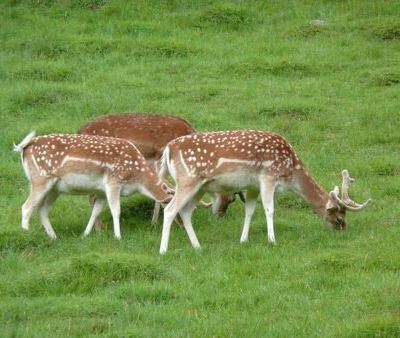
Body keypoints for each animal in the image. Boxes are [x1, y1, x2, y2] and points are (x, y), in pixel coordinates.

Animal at [13, 131, 173, 239]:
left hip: (54, 188)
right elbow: (116, 210)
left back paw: (54, 237)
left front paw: (85, 234)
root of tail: (23, 148)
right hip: (40, 179)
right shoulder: (113, 182)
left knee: (42, 209)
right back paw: (26, 233)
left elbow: (96, 211)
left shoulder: (101, 191)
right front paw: (118, 236)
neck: (137, 179)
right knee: (26, 206)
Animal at [158, 129, 370, 254]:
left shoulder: (252, 186)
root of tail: (168, 150)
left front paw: (243, 240)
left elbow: (250, 211)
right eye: (339, 217)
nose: (342, 231)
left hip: (201, 187)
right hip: (188, 180)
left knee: (185, 211)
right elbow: (269, 209)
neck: (290, 170)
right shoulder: (268, 175)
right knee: (170, 209)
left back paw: (197, 246)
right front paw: (272, 240)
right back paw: (163, 250)